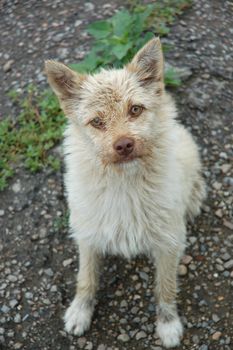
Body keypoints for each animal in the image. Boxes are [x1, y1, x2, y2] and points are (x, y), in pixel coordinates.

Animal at [44, 38, 205, 348]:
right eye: (96, 122)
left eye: (135, 110)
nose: (124, 145)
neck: (124, 183)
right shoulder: (87, 235)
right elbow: (86, 277)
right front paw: (80, 310)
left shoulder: (169, 243)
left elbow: (165, 287)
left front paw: (168, 324)